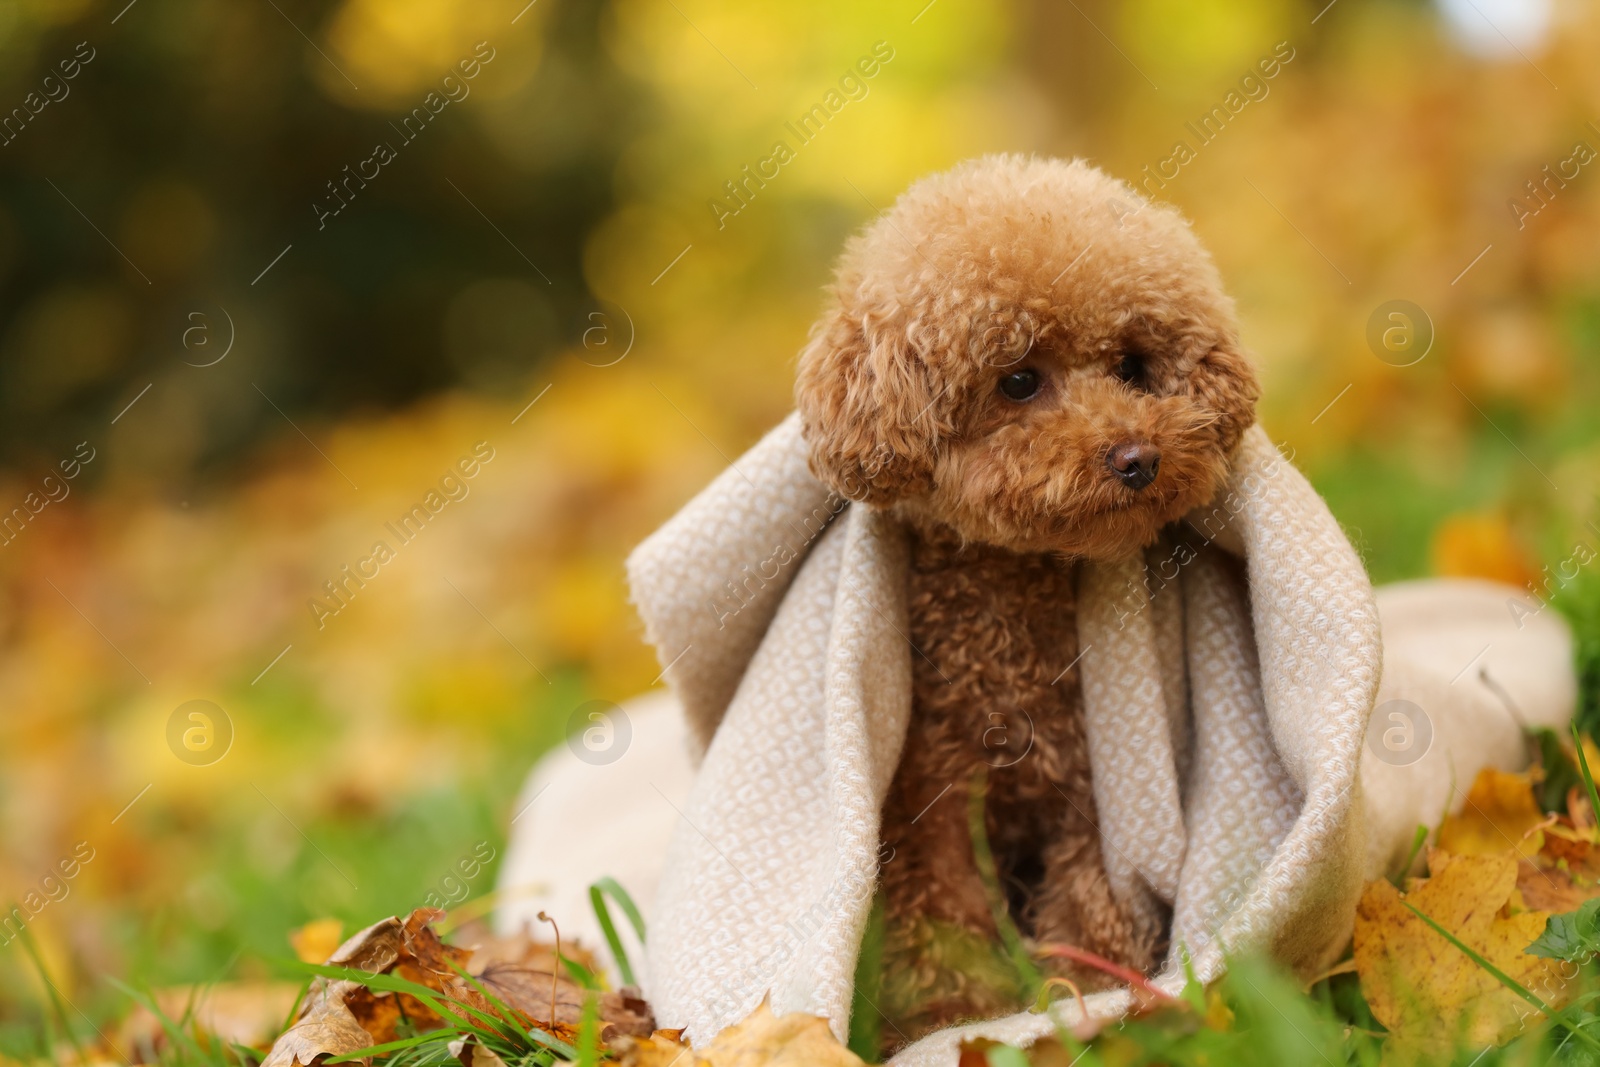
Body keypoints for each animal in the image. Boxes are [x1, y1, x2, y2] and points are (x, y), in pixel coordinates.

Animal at [790, 158, 1260, 1049]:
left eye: (1134, 365)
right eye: (1017, 380)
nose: (1138, 457)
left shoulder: (1087, 792)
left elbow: (1089, 902)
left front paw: (1090, 999)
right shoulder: (927, 805)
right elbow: (938, 920)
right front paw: (951, 1017)